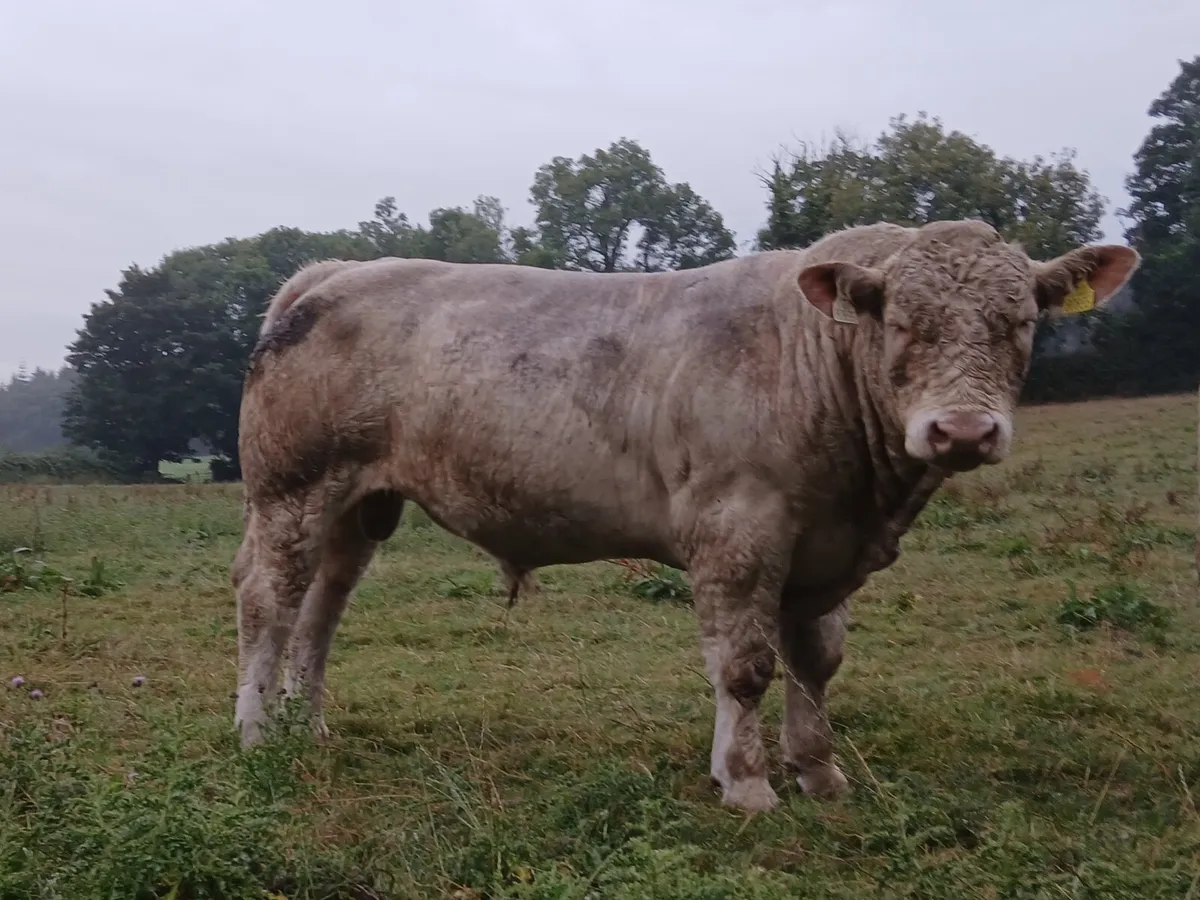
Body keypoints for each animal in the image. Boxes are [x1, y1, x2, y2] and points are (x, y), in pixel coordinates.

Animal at [231, 219, 1138, 812]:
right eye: (902, 324)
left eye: (1020, 322)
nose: (963, 430)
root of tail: (334, 270)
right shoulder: (737, 531)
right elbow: (745, 665)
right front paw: (747, 783)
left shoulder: (828, 549)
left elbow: (817, 661)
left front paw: (819, 772)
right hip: (291, 488)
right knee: (269, 599)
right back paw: (255, 734)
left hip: (360, 504)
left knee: (323, 605)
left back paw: (308, 726)